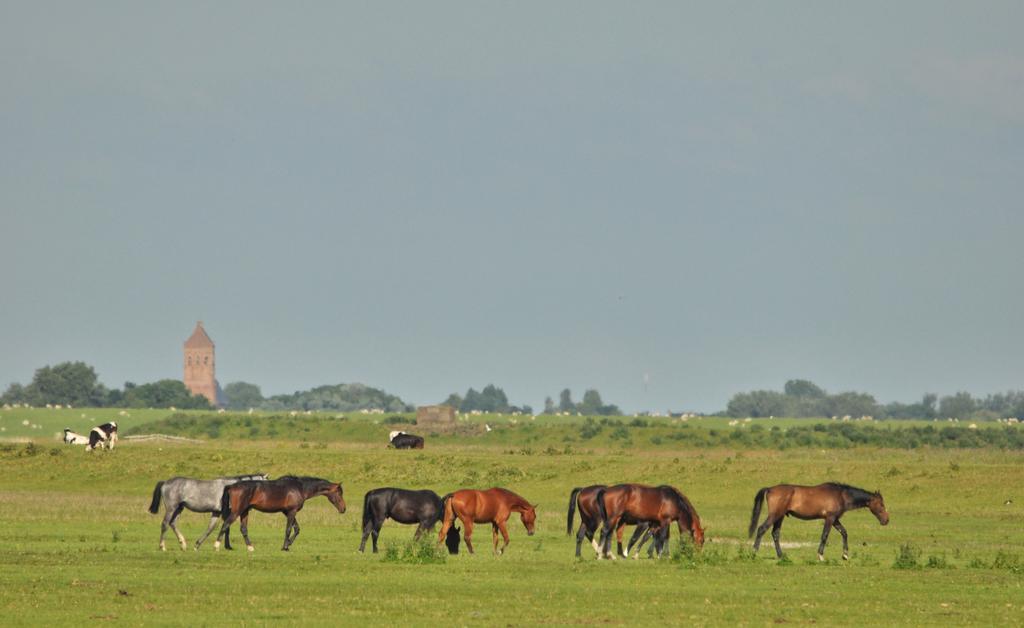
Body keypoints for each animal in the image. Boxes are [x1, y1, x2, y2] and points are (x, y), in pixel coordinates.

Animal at [214, 475, 346, 549]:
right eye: (339, 493)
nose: (344, 509)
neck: (300, 488)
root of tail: (231, 486)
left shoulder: (287, 512)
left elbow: (296, 529)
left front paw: (288, 545)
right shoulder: (292, 512)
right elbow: (288, 529)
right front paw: (285, 546)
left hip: (245, 511)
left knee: (243, 529)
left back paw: (250, 547)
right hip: (237, 511)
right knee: (226, 524)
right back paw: (217, 545)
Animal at [745, 479, 888, 557]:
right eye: (881, 504)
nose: (886, 520)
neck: (841, 495)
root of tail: (769, 489)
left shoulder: (835, 519)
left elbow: (844, 532)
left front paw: (845, 555)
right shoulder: (829, 518)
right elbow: (824, 535)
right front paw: (820, 555)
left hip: (780, 517)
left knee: (775, 534)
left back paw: (781, 555)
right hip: (775, 515)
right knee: (761, 529)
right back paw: (754, 552)